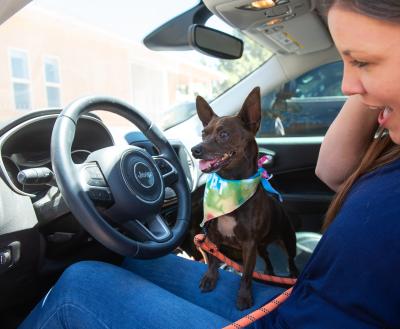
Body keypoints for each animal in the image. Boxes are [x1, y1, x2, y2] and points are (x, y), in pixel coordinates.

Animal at [191, 86, 296, 308]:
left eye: (223, 134)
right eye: (203, 134)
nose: (195, 150)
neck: (230, 186)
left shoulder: (249, 245)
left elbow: (246, 274)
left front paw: (244, 296)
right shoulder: (213, 238)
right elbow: (213, 261)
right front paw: (210, 278)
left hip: (287, 242)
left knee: (291, 262)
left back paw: (291, 275)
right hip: (262, 246)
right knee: (267, 260)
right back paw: (269, 273)